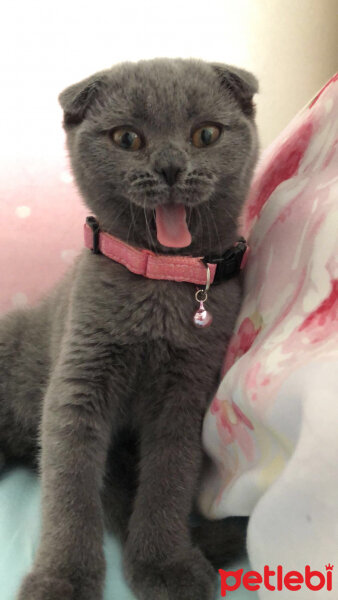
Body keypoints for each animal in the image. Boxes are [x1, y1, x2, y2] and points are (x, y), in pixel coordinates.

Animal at [0, 57, 258, 600]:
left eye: (206, 134)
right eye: (127, 138)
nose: (170, 166)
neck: (158, 277)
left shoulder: (186, 391)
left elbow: (169, 477)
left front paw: (165, 564)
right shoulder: (79, 377)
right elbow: (70, 487)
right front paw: (62, 578)